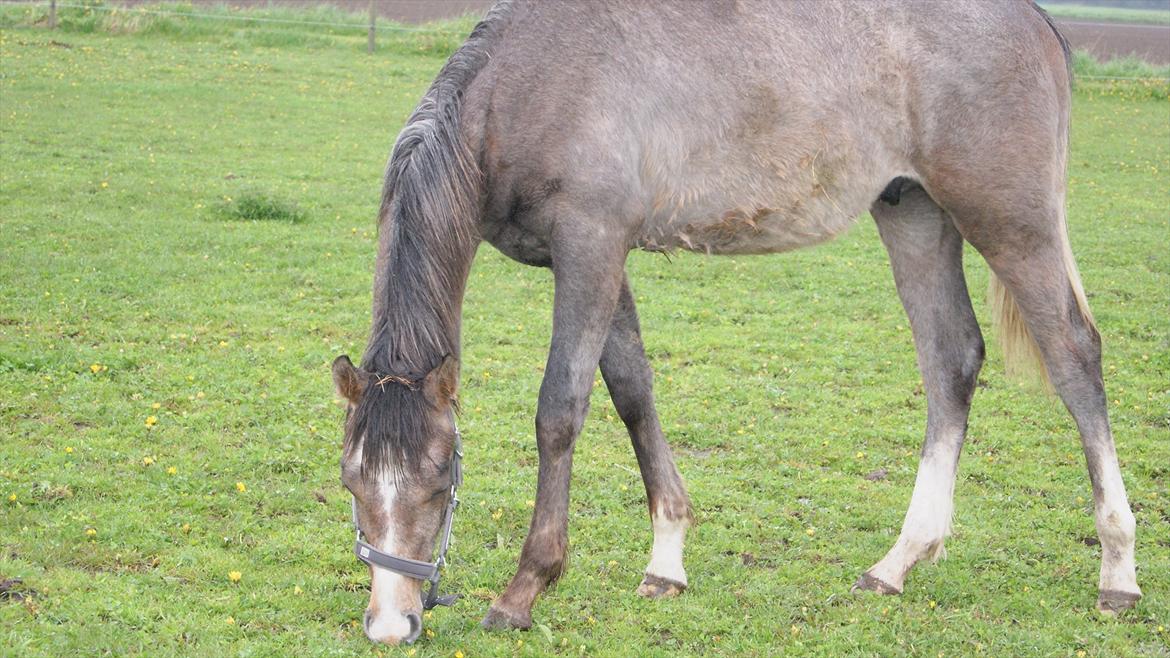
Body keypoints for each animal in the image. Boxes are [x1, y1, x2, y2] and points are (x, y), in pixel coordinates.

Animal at [332, 0, 1141, 641]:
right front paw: (666, 558)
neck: (526, 86)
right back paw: (898, 562)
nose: (391, 624)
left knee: (1074, 355)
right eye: (352, 484)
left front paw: (525, 589)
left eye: (440, 479)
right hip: (915, 212)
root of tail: (1033, 19)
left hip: (1010, 221)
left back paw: (1117, 570)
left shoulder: (589, 246)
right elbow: (632, 390)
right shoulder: (602, 259)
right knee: (951, 360)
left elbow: (560, 410)